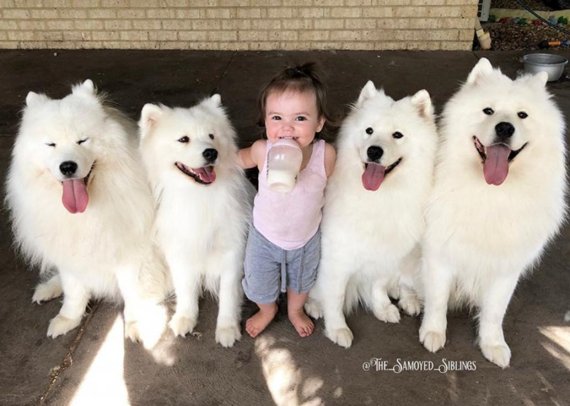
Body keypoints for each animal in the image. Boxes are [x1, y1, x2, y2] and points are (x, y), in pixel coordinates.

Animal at [5, 80, 169, 348]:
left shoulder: (132, 256)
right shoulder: (71, 255)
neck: (88, 211)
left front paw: (136, 325)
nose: (67, 166)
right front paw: (67, 319)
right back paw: (48, 288)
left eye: (82, 141)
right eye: (51, 144)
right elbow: (74, 292)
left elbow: (133, 295)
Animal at [138, 96, 251, 348]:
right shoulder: (179, 252)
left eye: (211, 135)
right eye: (183, 139)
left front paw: (227, 329)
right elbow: (186, 290)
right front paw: (184, 319)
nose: (211, 153)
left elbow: (228, 295)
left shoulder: (232, 252)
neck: (199, 196)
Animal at [304, 81, 438, 348]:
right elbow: (335, 296)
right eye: (369, 130)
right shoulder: (337, 259)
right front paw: (337, 328)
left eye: (397, 135)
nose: (374, 151)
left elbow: (378, 285)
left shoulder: (386, 254)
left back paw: (407, 298)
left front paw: (382, 308)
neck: (379, 198)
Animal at [418, 58, 564, 368]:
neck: (491, 192)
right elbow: (437, 300)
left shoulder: (506, 266)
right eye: (488, 110)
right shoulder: (439, 254)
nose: (505, 128)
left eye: (522, 115)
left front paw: (493, 345)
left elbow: (495, 312)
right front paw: (433, 333)